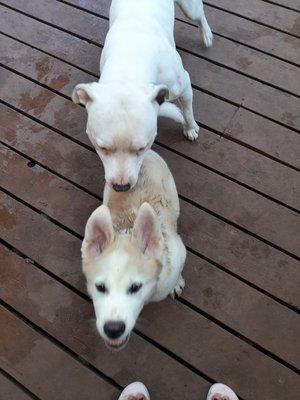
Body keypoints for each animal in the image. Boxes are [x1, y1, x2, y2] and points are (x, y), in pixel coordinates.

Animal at [72, 0, 212, 192]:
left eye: (142, 148)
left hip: (190, 8)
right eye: (102, 148)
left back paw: (206, 34)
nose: (121, 186)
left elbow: (188, 111)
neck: (128, 68)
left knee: (200, 15)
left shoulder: (183, 86)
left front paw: (190, 128)